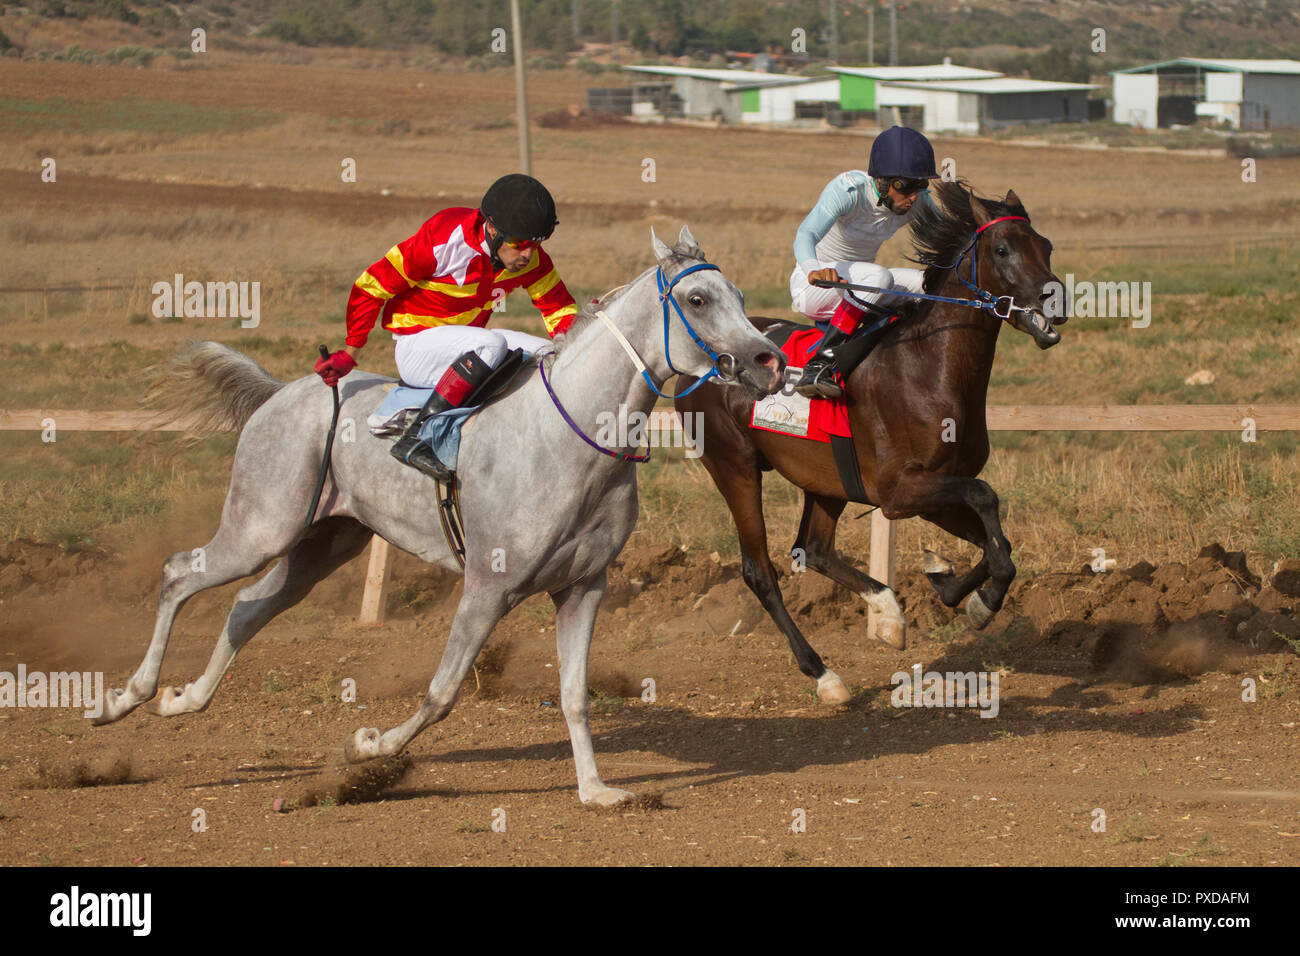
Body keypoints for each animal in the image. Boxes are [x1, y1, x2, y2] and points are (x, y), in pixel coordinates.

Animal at [92, 226, 784, 807]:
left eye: (739, 296)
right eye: (697, 298)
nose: (768, 361)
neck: (571, 437)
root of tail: (283, 392)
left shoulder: (583, 586)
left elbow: (574, 695)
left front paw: (595, 791)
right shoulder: (488, 587)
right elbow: (443, 691)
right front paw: (369, 747)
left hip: (321, 544)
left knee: (246, 607)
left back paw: (184, 700)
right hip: (261, 528)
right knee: (180, 573)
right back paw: (124, 698)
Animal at [675, 181, 1064, 703]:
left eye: (1046, 246)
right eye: (1002, 249)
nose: (1055, 300)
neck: (927, 366)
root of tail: (702, 360)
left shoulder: (933, 490)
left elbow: (997, 543)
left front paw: (948, 583)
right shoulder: (899, 492)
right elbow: (987, 501)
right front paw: (978, 601)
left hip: (826, 480)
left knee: (813, 549)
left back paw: (886, 611)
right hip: (733, 466)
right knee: (760, 570)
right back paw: (824, 674)